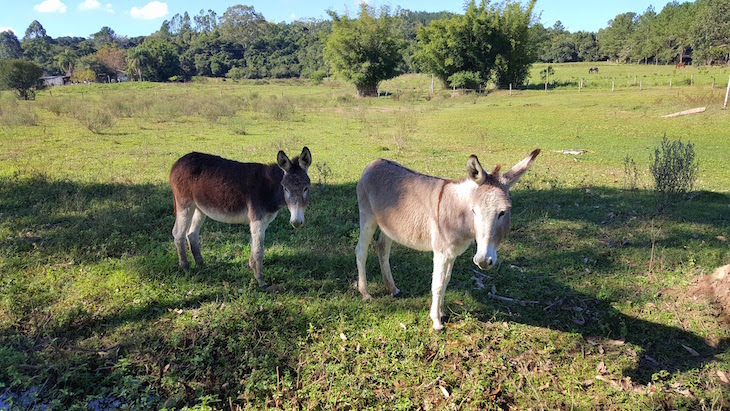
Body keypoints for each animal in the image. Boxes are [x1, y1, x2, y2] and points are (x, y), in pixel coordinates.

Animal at [169, 147, 312, 286]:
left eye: (306, 188)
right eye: (285, 188)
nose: (296, 222)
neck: (269, 189)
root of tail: (177, 162)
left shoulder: (263, 221)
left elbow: (254, 245)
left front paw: (252, 267)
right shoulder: (257, 219)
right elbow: (259, 249)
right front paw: (260, 280)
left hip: (200, 208)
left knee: (191, 233)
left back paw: (200, 263)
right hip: (185, 205)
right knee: (178, 233)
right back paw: (185, 266)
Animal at [356, 150, 536, 330]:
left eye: (503, 212)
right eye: (474, 211)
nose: (483, 261)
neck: (461, 216)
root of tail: (374, 162)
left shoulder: (452, 253)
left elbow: (446, 281)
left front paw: (441, 312)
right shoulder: (441, 252)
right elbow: (437, 284)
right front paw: (436, 321)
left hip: (389, 226)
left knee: (382, 249)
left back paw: (393, 289)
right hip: (367, 218)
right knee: (361, 251)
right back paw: (365, 293)